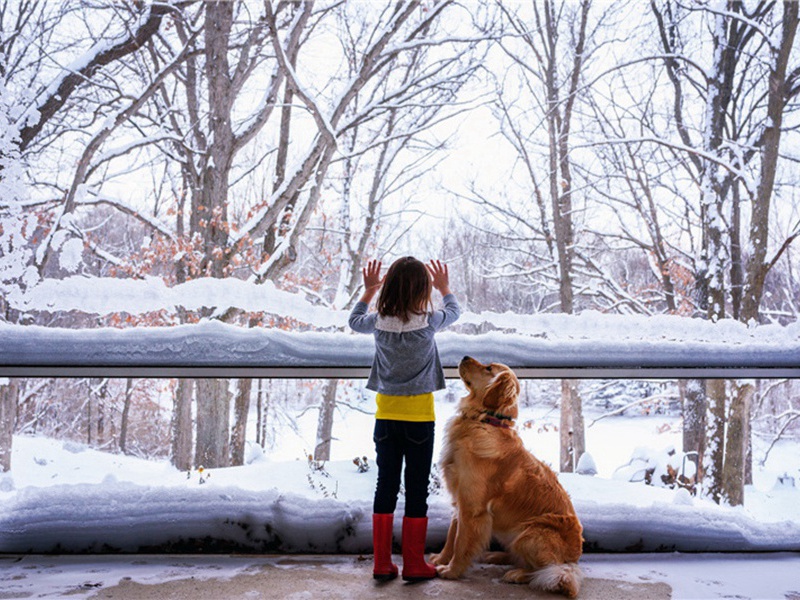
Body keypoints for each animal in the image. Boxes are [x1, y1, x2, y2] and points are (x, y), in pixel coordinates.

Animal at [434, 356, 584, 596]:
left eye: (488, 368)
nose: (464, 357)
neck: (485, 421)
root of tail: (573, 561)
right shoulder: (459, 500)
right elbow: (450, 537)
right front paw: (439, 559)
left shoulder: (472, 508)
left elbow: (460, 542)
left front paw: (451, 571)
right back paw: (496, 555)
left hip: (530, 534)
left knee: (544, 572)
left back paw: (517, 574)